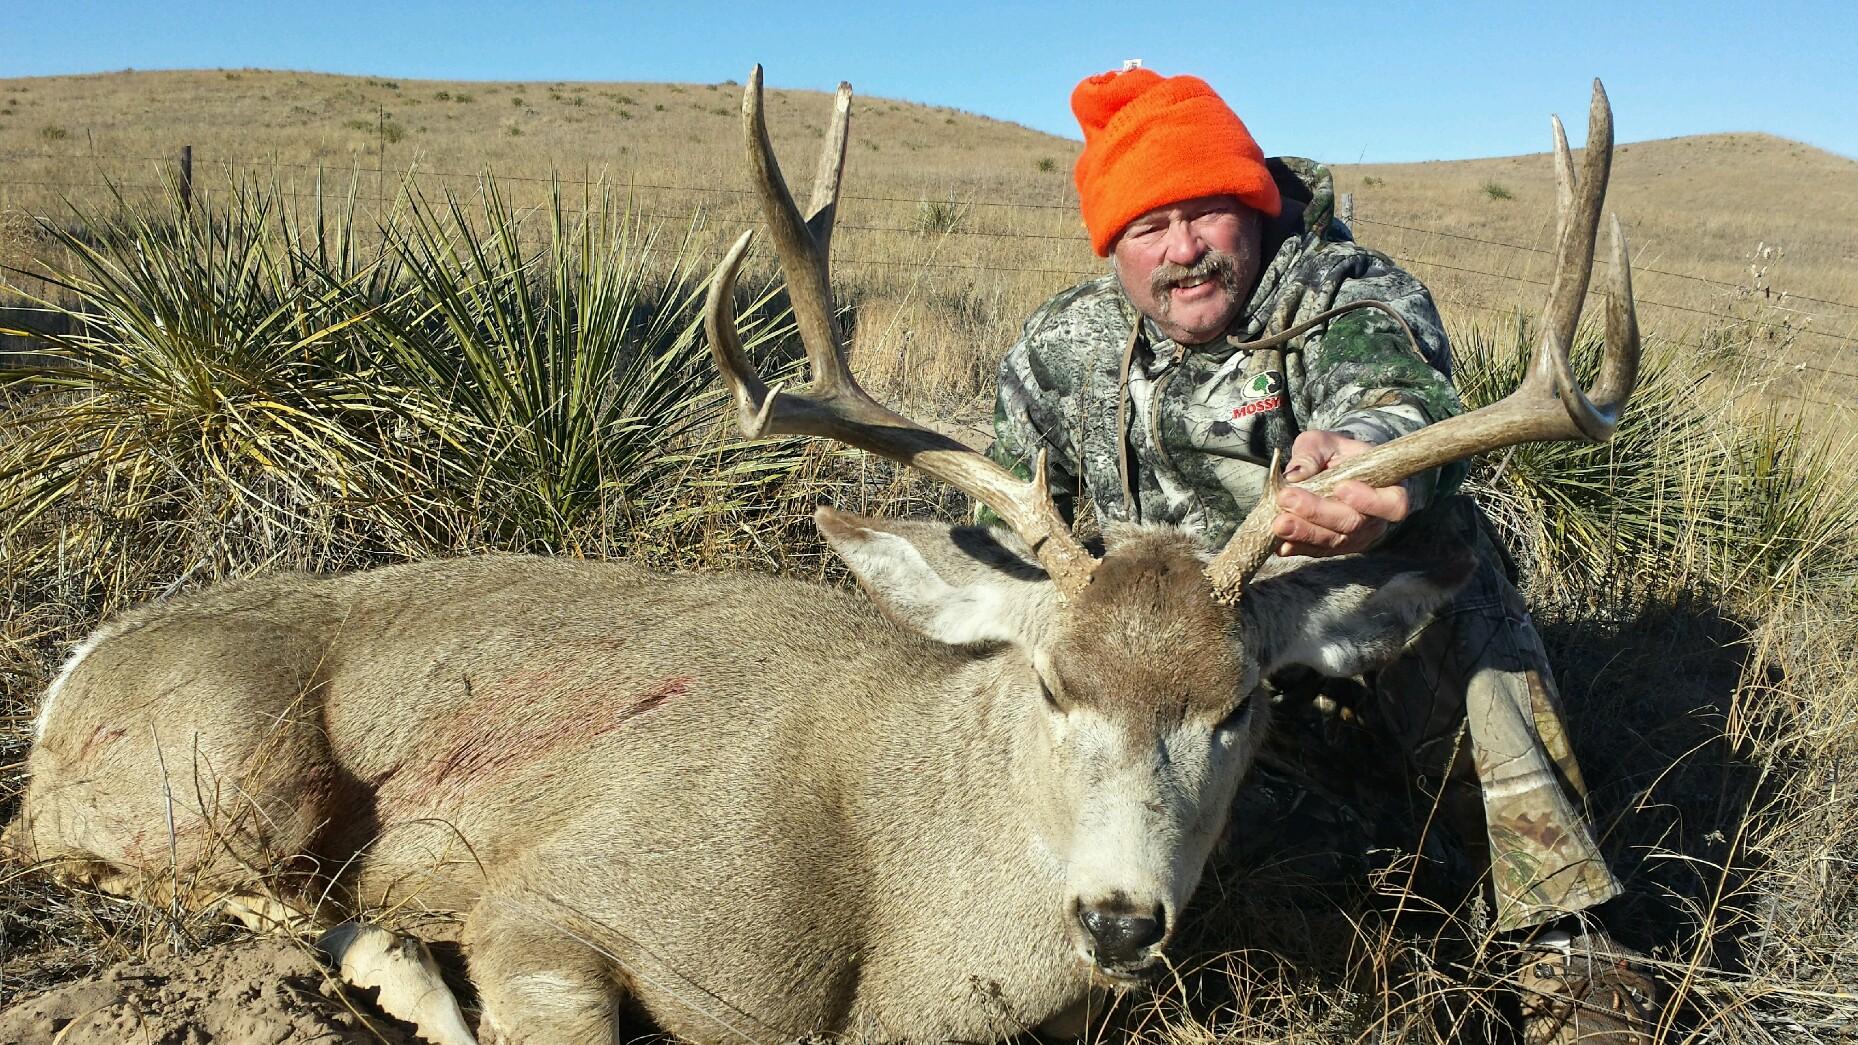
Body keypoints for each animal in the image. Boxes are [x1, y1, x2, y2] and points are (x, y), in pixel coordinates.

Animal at [4, 67, 1639, 1045]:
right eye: (1050, 686)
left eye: (1238, 703)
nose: (1120, 916)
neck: (884, 937)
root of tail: (73, 675)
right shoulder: (552, 897)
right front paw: (427, 968)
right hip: (236, 769)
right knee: (175, 877)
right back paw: (394, 961)